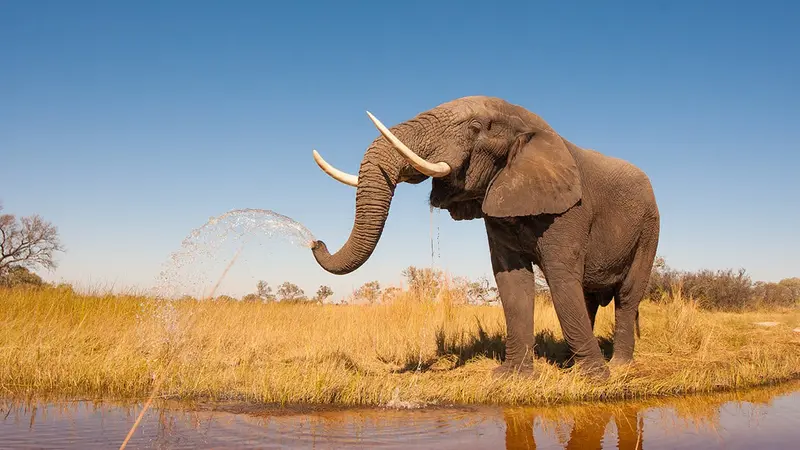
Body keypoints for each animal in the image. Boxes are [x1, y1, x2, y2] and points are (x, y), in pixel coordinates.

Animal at [309, 96, 660, 379]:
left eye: (476, 126)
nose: (315, 242)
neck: (529, 124)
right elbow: (512, 280)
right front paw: (511, 377)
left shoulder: (572, 209)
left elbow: (560, 277)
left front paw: (594, 379)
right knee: (588, 297)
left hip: (649, 229)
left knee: (626, 295)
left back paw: (617, 366)